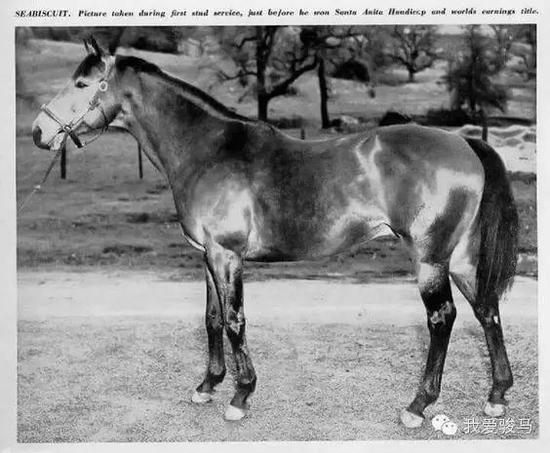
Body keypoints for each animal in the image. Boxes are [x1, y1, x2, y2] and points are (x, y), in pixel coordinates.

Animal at [32, 38, 520, 428]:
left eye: (82, 85)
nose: (39, 131)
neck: (209, 151)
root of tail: (463, 142)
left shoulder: (227, 255)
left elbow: (234, 320)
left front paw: (240, 395)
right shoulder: (207, 256)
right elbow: (211, 319)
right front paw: (207, 385)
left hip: (430, 259)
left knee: (443, 319)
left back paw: (418, 405)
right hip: (461, 258)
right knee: (487, 309)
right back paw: (496, 395)